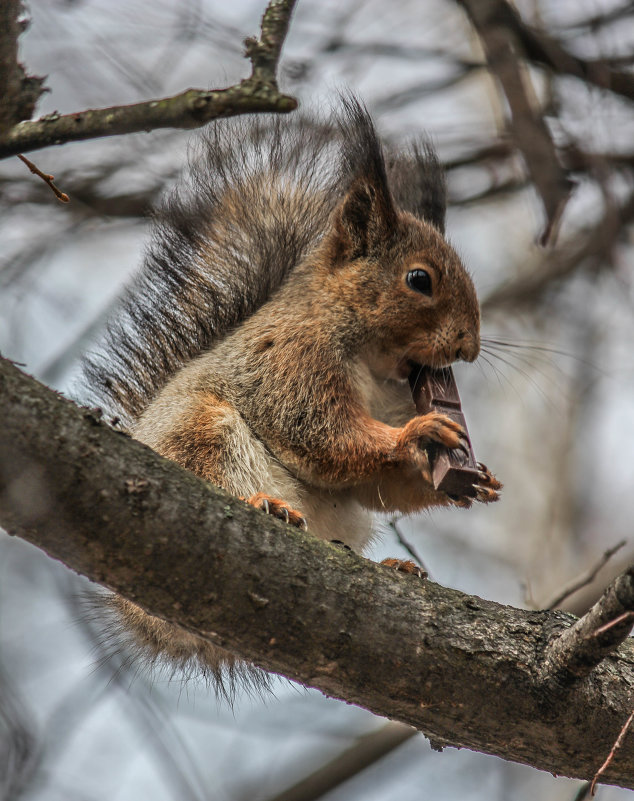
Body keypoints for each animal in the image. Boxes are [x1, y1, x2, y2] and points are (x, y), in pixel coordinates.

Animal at [81, 98, 502, 700]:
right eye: (419, 279)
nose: (469, 346)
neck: (373, 361)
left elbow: (369, 482)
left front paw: (469, 477)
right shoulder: (291, 361)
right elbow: (320, 434)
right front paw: (417, 436)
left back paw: (394, 567)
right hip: (200, 430)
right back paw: (267, 505)